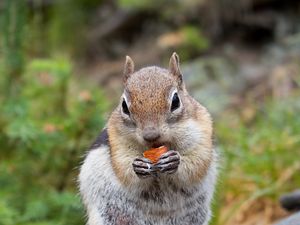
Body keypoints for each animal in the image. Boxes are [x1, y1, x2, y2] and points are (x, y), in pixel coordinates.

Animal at [78, 53, 217, 225]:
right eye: (124, 106)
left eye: (176, 101)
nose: (151, 135)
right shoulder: (117, 142)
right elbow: (123, 167)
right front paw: (138, 166)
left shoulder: (202, 132)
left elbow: (197, 162)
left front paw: (174, 161)